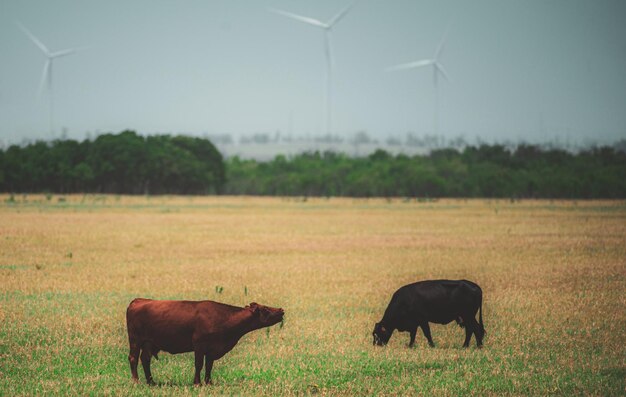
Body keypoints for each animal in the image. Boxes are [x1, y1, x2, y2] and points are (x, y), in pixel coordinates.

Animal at [125, 298, 284, 386]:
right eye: (265, 309)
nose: (281, 310)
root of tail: (139, 300)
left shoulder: (212, 349)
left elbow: (209, 366)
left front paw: (208, 382)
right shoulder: (199, 345)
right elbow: (199, 365)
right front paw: (197, 383)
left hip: (149, 343)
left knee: (145, 359)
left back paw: (151, 382)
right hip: (135, 340)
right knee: (133, 359)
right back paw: (136, 381)